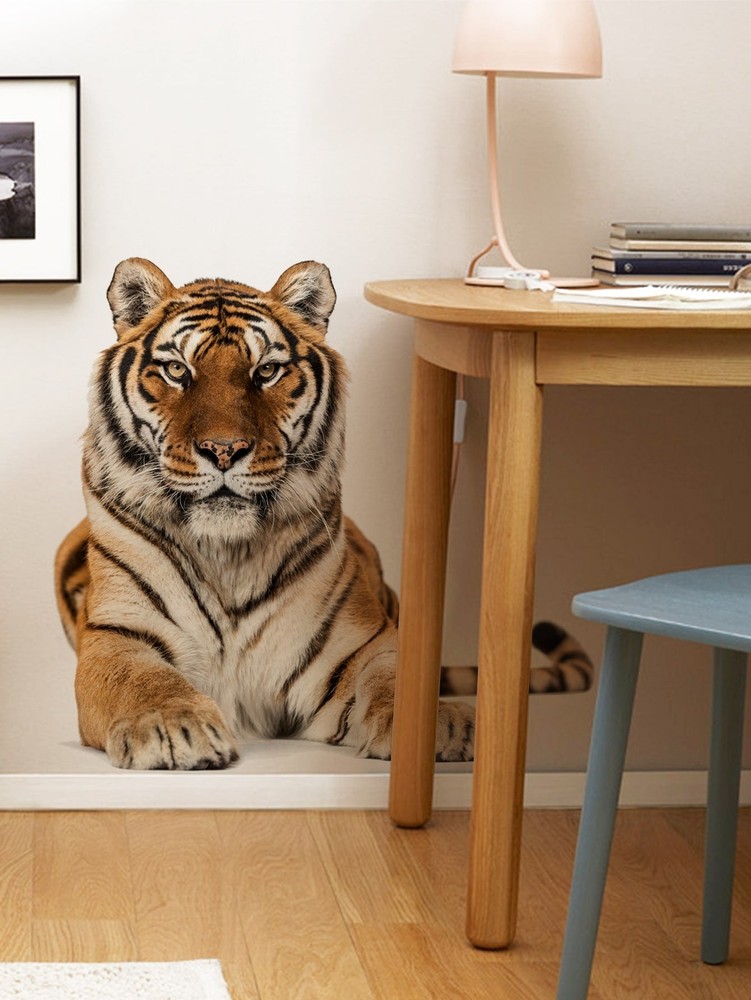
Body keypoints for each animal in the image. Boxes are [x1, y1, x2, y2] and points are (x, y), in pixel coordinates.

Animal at [54, 258, 592, 771]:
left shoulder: (361, 642)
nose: (224, 450)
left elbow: (397, 679)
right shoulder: (118, 635)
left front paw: (437, 725)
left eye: (266, 372)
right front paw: (172, 727)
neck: (227, 555)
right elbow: (140, 679)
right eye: (177, 371)